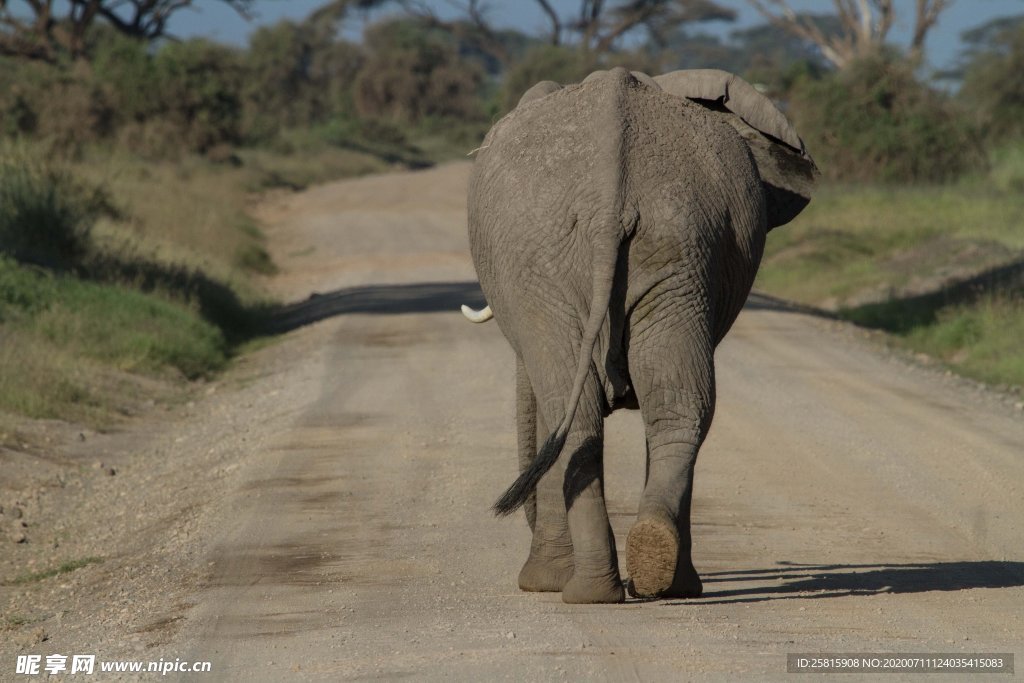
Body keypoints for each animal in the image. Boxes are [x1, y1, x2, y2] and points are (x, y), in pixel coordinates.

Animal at [462, 67, 818, 603]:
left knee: (577, 412)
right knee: (676, 404)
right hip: (677, 246)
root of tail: (610, 196)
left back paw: (586, 591)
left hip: (556, 263)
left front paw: (540, 583)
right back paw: (659, 575)